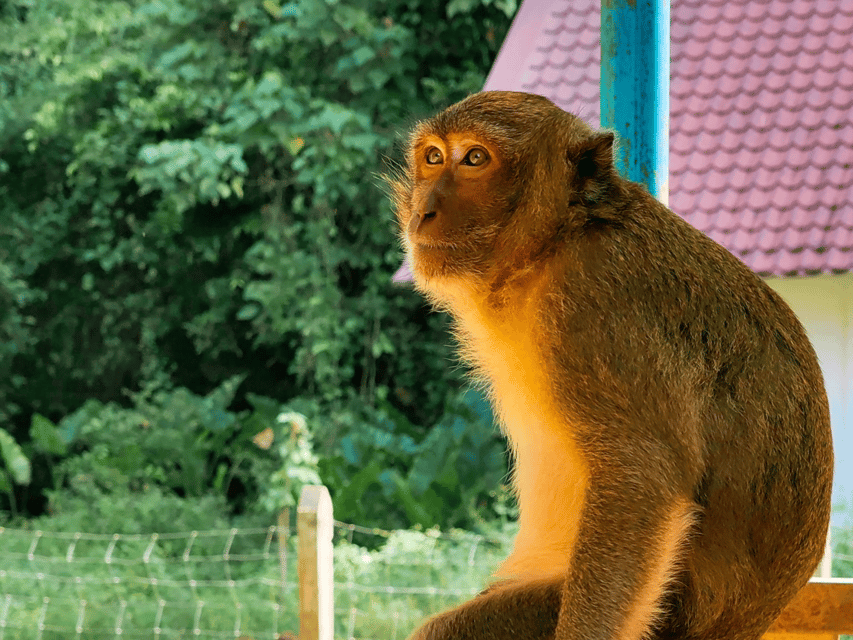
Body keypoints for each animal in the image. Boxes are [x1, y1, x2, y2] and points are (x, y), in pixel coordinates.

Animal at [386, 91, 832, 640]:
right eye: (432, 157)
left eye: (474, 158)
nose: (423, 211)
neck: (556, 242)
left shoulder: (593, 306)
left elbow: (641, 479)